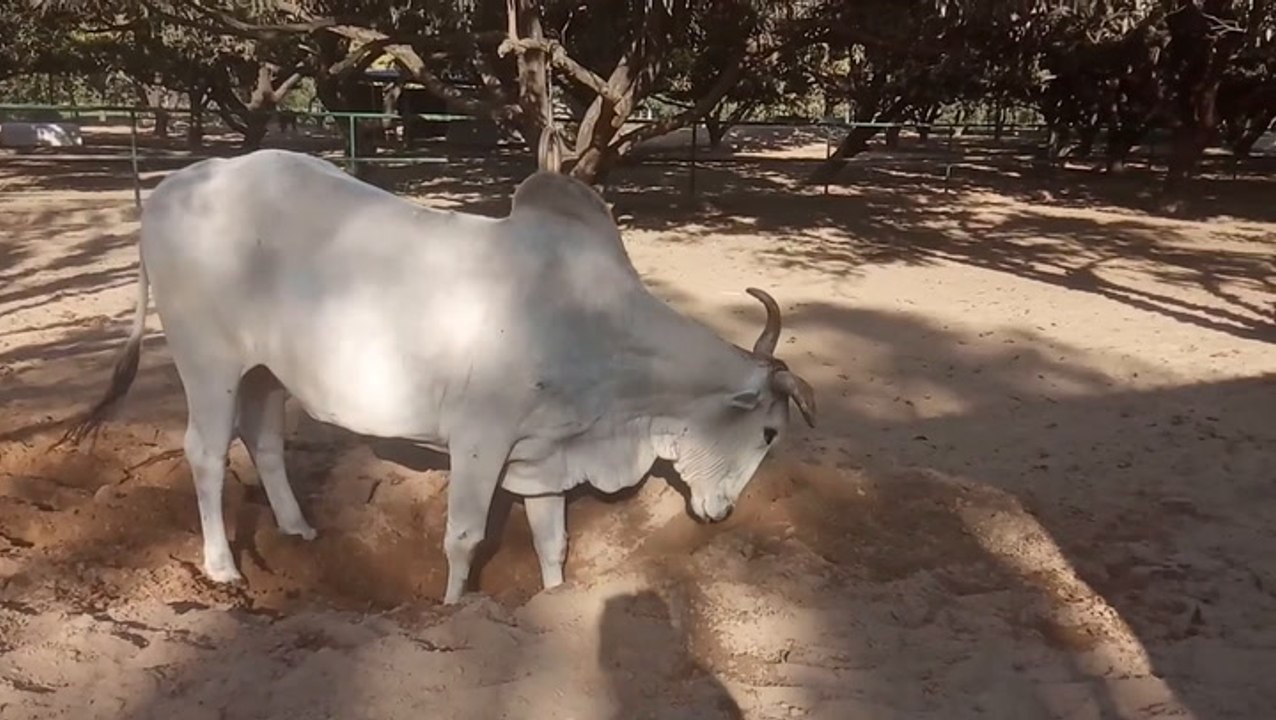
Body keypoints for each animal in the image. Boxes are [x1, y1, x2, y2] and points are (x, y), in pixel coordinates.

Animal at [60, 147, 817, 605]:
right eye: (769, 432)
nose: (724, 512)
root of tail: (171, 188)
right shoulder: (481, 439)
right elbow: (463, 538)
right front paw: (454, 607)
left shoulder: (544, 454)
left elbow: (553, 541)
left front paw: (551, 599)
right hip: (207, 360)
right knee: (207, 454)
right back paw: (222, 566)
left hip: (265, 371)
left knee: (265, 441)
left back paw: (299, 529)